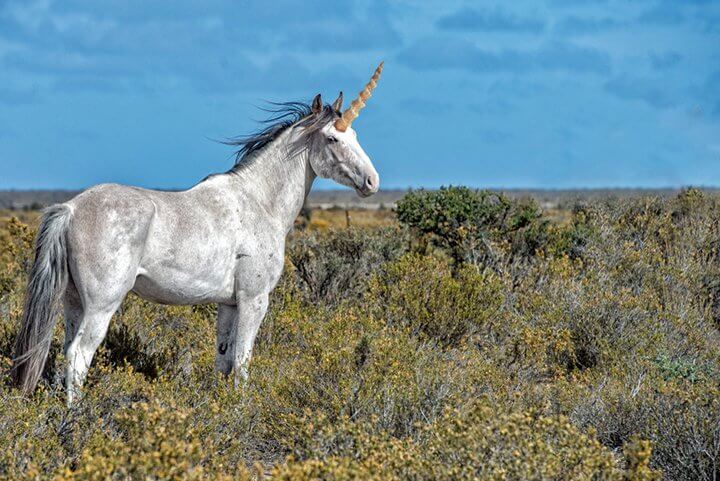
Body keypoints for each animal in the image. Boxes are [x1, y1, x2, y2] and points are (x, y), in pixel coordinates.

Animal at [12, 62, 382, 404]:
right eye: (332, 138)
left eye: (355, 136)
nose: (372, 182)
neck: (258, 200)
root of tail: (71, 208)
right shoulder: (254, 300)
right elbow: (243, 361)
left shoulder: (228, 304)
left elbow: (224, 360)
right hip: (102, 305)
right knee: (79, 355)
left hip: (73, 302)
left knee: (66, 351)